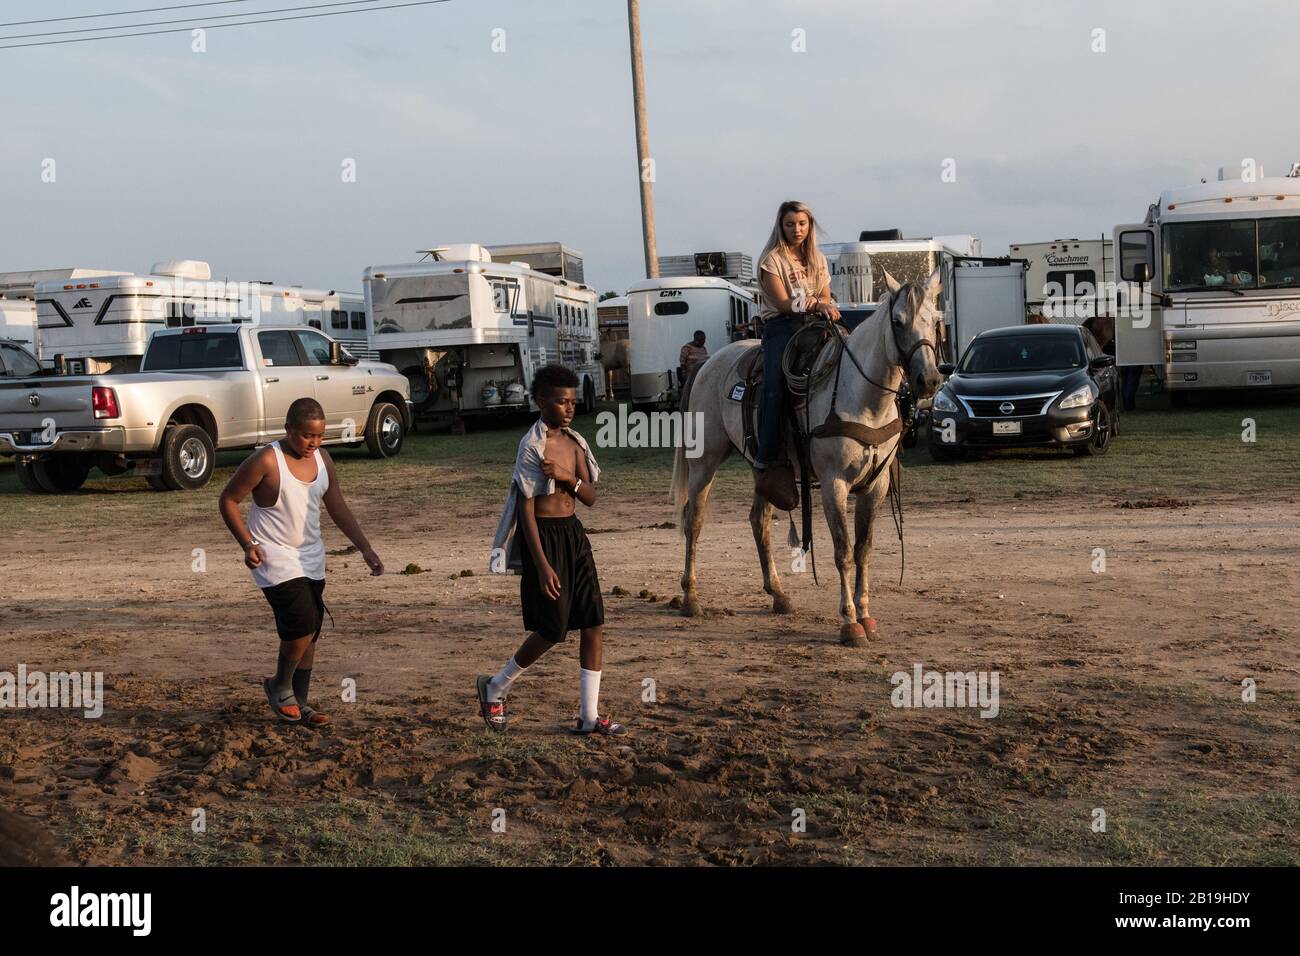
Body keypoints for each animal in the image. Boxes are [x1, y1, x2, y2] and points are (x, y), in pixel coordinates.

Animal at [670, 267, 946, 642]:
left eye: (935, 320)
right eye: (898, 321)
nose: (928, 380)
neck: (862, 398)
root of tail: (708, 363)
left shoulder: (875, 487)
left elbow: (864, 550)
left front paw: (866, 614)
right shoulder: (834, 484)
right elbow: (843, 551)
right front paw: (849, 622)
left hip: (766, 468)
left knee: (758, 521)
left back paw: (779, 595)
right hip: (704, 462)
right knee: (693, 520)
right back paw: (690, 597)